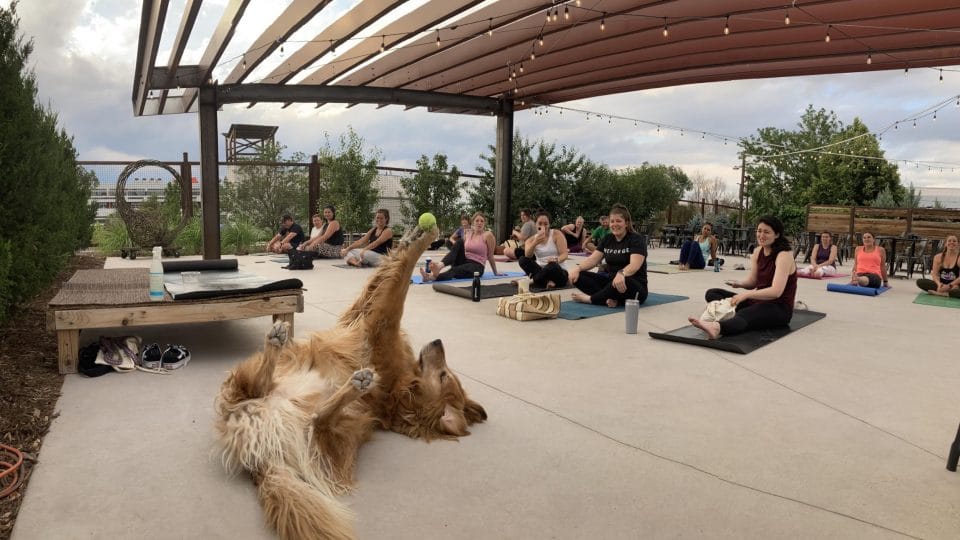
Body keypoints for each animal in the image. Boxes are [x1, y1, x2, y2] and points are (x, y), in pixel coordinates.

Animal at [216, 225, 488, 540]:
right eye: (446, 373)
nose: (438, 341)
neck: (400, 388)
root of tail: (263, 461)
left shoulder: (376, 326)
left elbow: (396, 289)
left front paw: (418, 241)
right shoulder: (363, 321)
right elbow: (389, 283)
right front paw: (414, 238)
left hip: (343, 430)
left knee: (317, 420)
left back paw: (354, 385)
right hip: (253, 387)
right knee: (261, 386)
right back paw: (281, 343)